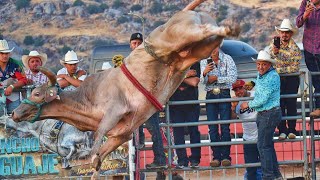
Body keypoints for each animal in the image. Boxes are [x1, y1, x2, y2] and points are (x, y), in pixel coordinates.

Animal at [11, 0, 239, 177]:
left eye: (37, 93)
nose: (14, 113)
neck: (87, 102)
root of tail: (181, 13)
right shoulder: (120, 135)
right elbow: (97, 161)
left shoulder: (113, 112)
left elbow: (94, 150)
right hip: (200, 48)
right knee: (212, 37)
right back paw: (229, 29)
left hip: (178, 37)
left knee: (203, 31)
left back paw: (231, 28)